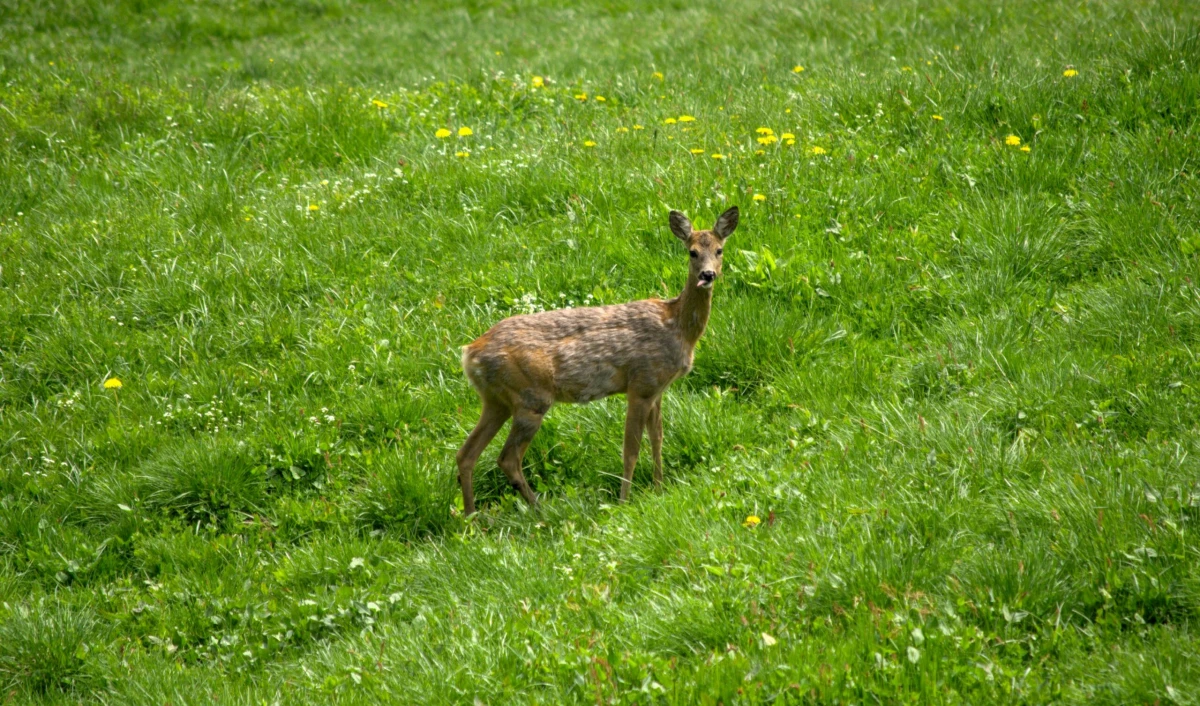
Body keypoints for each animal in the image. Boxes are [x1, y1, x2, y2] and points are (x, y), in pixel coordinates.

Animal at [453, 205, 734, 513]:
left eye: (719, 250)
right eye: (692, 252)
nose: (708, 274)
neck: (677, 327)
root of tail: (469, 354)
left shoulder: (658, 389)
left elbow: (657, 440)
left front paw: (659, 490)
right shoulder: (641, 384)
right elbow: (630, 449)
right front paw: (625, 502)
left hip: (496, 400)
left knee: (466, 454)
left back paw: (472, 517)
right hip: (530, 397)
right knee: (507, 459)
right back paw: (541, 511)